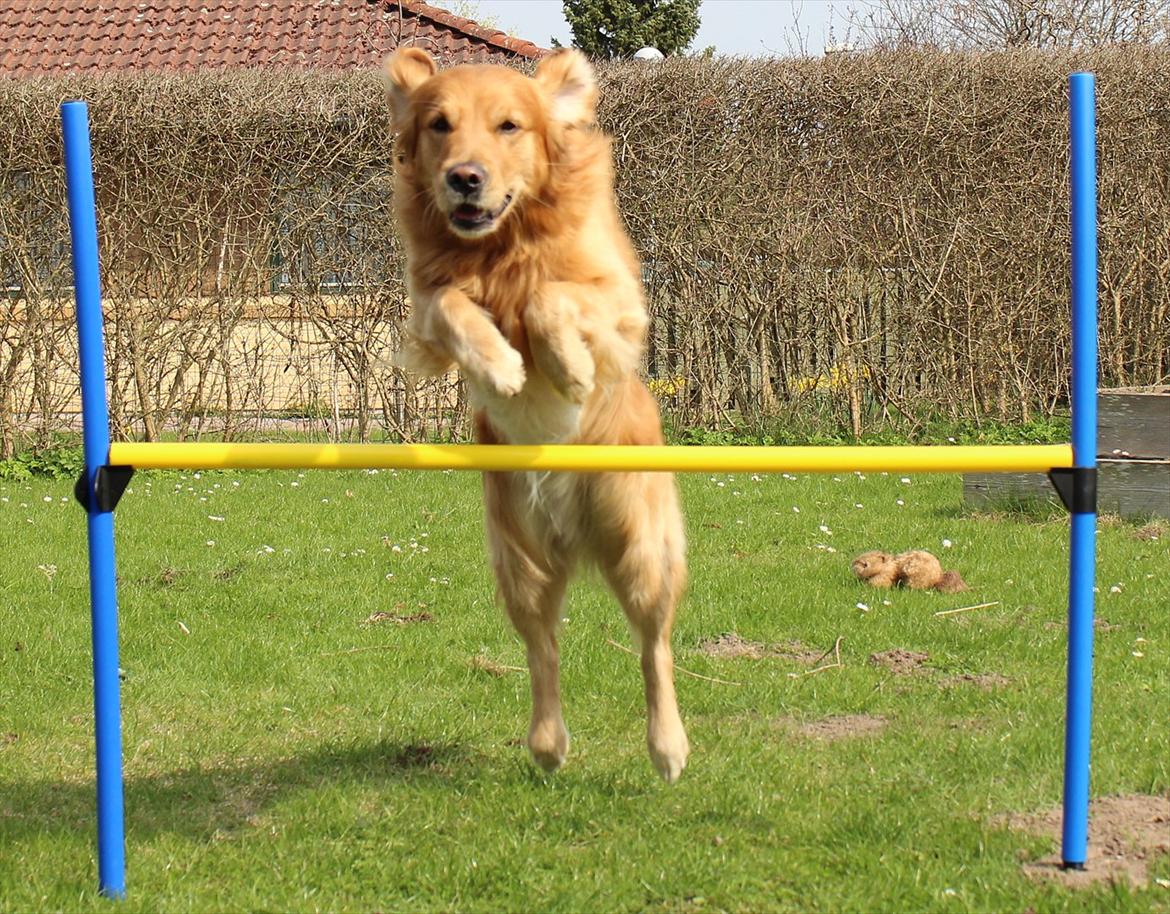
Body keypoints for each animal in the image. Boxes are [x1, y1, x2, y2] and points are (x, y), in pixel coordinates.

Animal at [388, 48, 687, 777]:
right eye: (439, 125)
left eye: (509, 126)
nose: (463, 179)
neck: (503, 244)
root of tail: (575, 530)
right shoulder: (425, 310)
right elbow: (454, 304)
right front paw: (500, 366)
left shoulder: (621, 304)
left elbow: (549, 296)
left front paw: (568, 368)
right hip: (518, 557)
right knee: (542, 648)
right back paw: (548, 744)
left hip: (641, 544)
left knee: (654, 646)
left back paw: (667, 746)